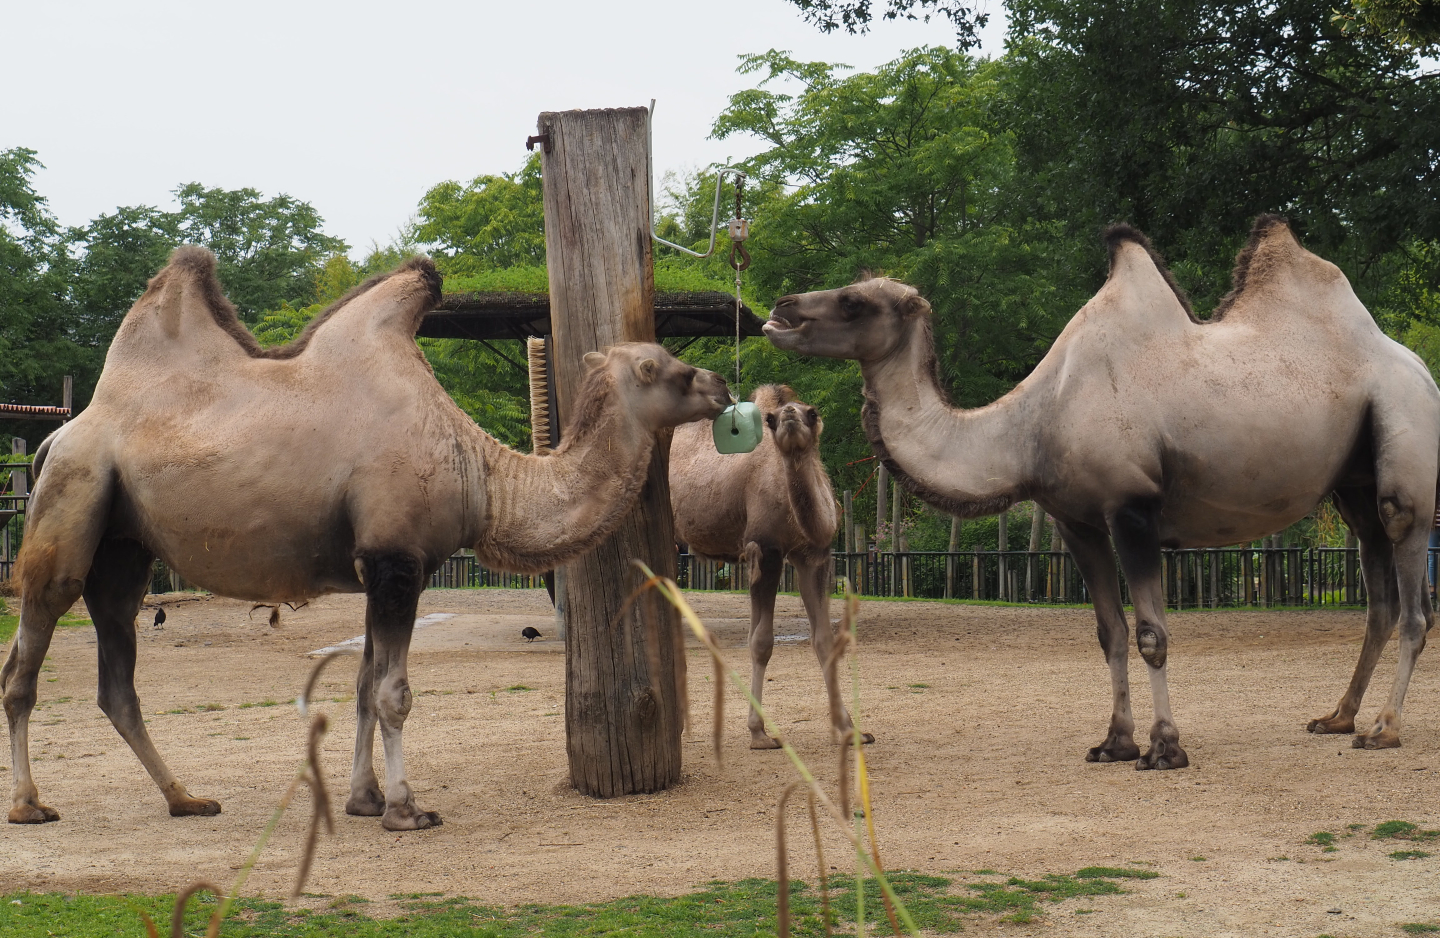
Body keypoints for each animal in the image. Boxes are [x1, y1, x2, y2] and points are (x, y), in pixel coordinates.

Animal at [3, 247, 729, 829]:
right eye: (657, 367)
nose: (720, 383)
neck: (480, 473)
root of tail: (56, 436)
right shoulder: (396, 558)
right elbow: (393, 693)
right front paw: (407, 810)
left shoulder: (388, 565)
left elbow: (361, 685)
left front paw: (364, 800)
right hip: (73, 494)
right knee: (26, 656)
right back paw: (31, 804)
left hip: (124, 545)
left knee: (117, 674)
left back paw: (186, 799)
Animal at [670, 385, 869, 748]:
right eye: (772, 419)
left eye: (813, 412)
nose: (789, 414)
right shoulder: (766, 551)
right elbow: (761, 642)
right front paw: (759, 733)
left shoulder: (812, 555)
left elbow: (824, 640)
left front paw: (850, 730)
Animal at [763, 216, 1440, 768]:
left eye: (854, 301)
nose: (781, 307)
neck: (1033, 425)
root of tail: (1418, 366)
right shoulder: (1076, 521)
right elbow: (1109, 633)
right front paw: (1115, 743)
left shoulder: (1130, 509)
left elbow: (1152, 635)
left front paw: (1165, 750)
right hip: (1351, 484)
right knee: (1377, 589)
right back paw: (1338, 717)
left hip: (1404, 439)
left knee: (1411, 583)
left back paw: (1383, 729)